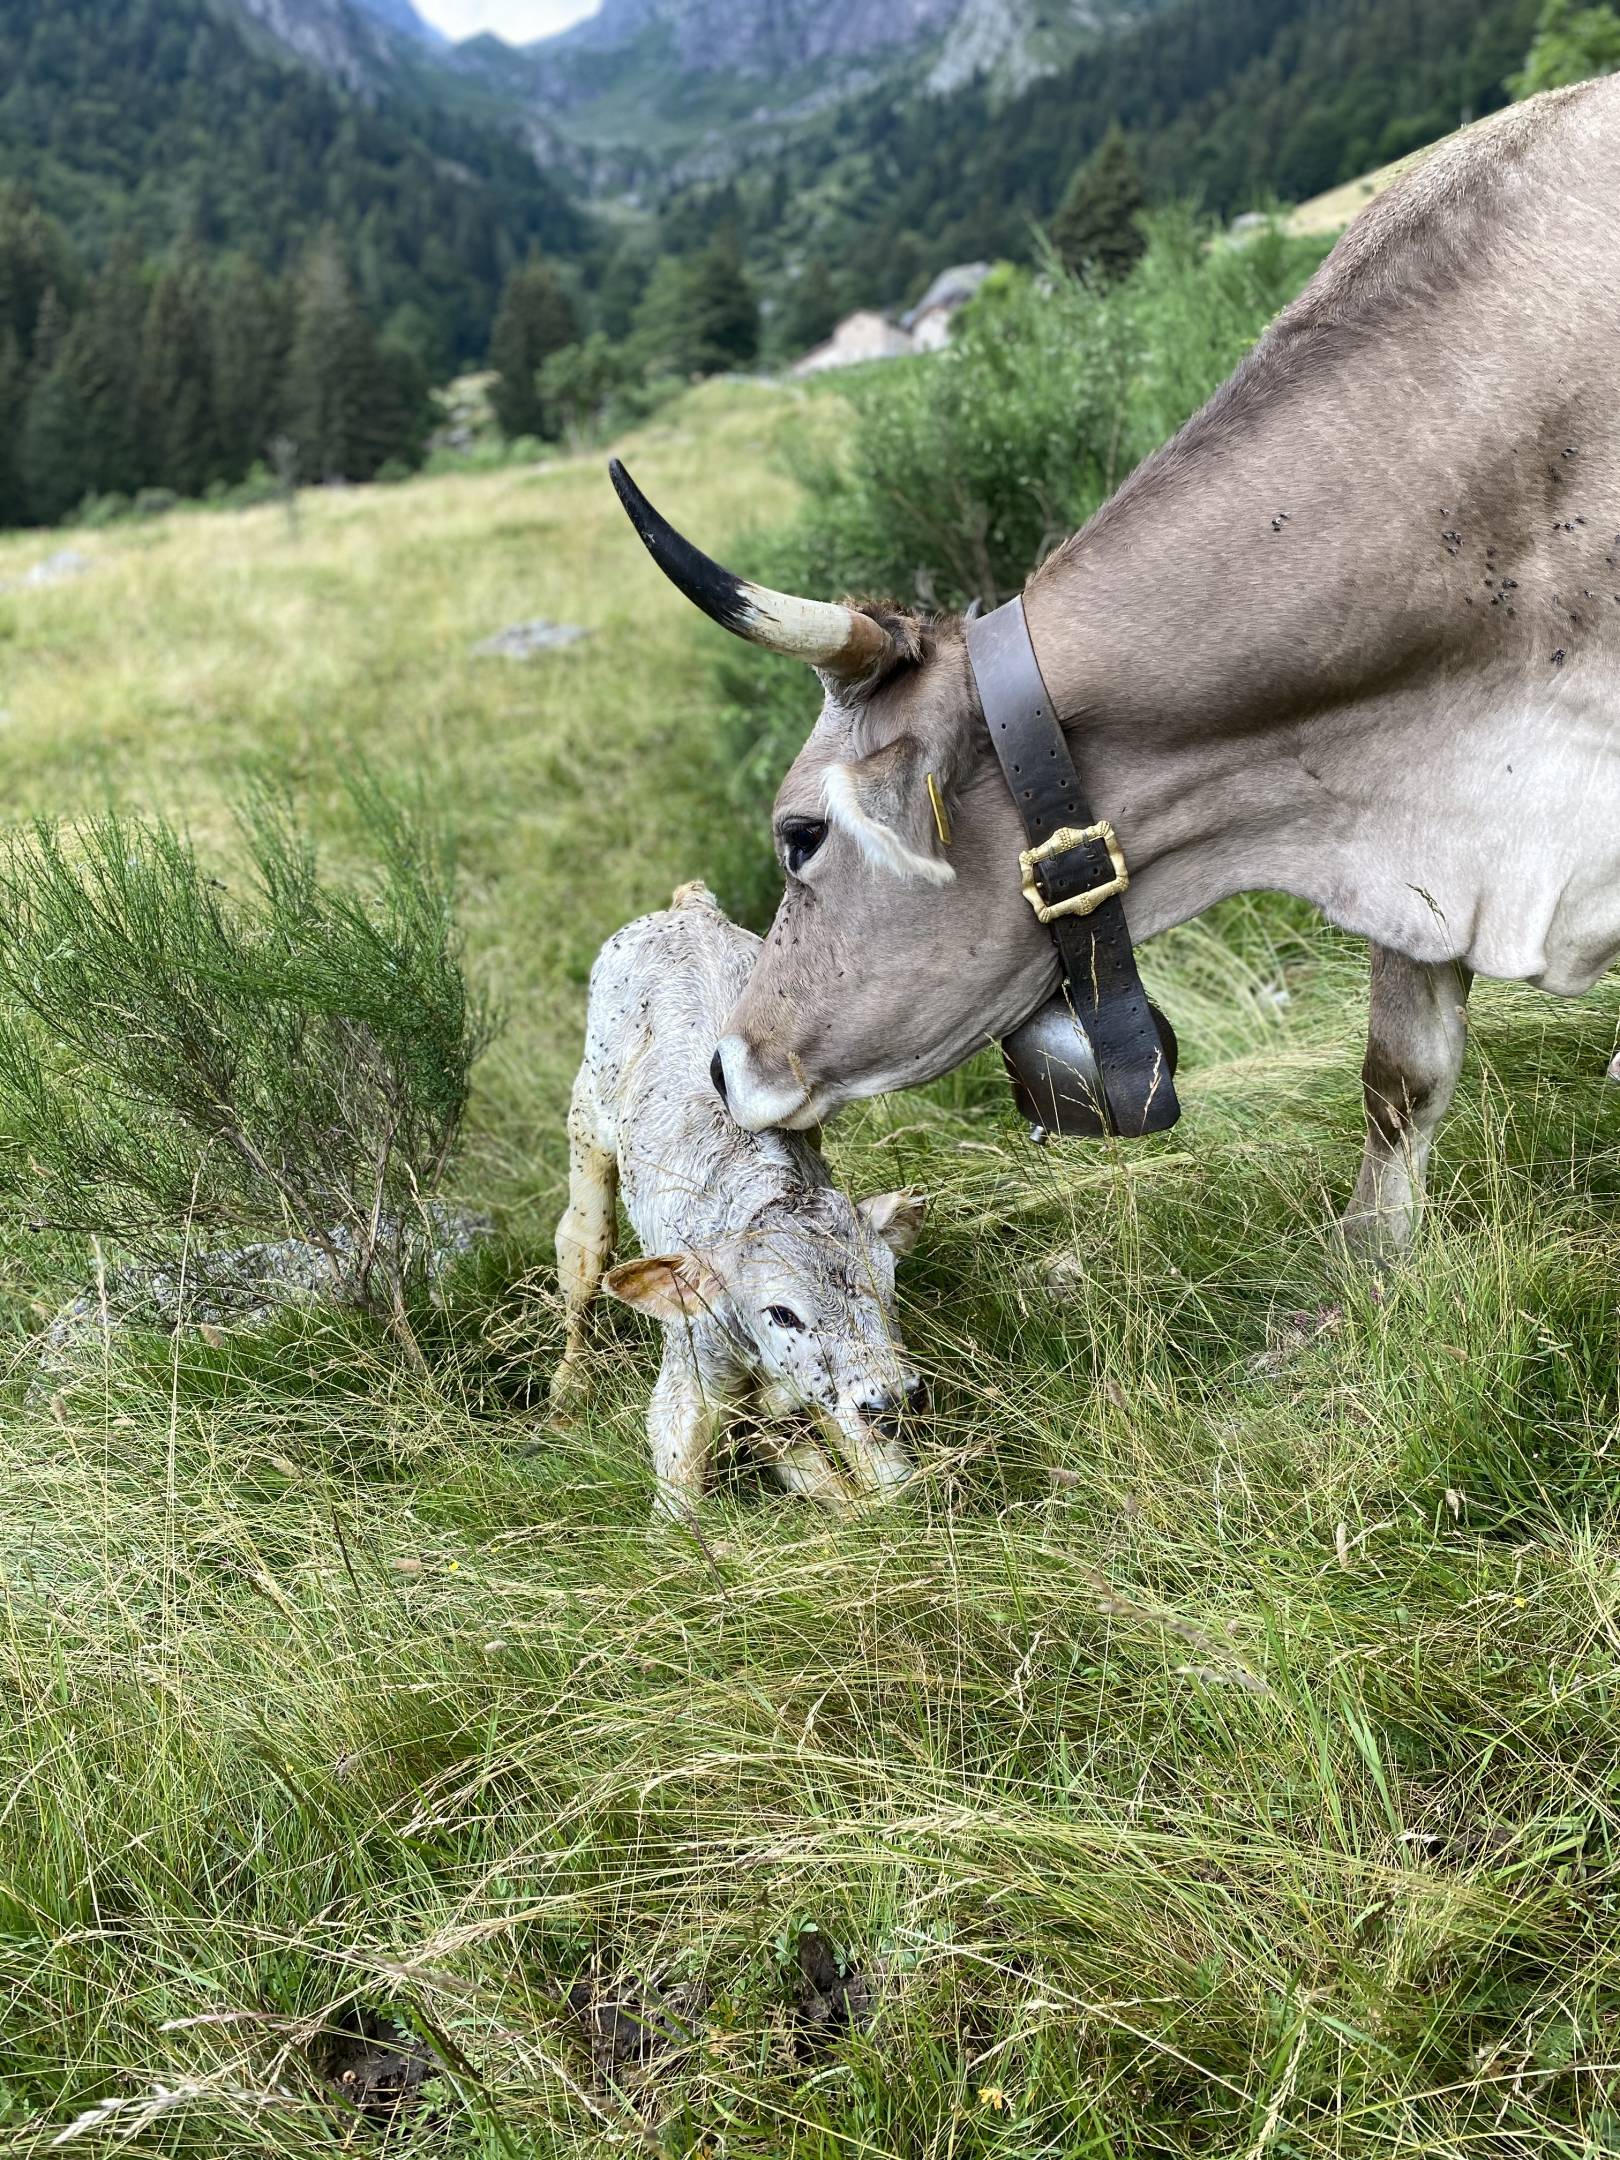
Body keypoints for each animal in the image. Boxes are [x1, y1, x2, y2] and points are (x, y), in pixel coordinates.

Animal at [557, 885, 924, 1512]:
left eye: (889, 1284)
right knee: (582, 1254)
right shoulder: (689, 1379)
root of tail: (688, 909)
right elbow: (678, 1503)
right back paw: (564, 1394)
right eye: (782, 1312)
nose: (891, 1402)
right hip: (588, 1122)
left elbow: (885, 1485)